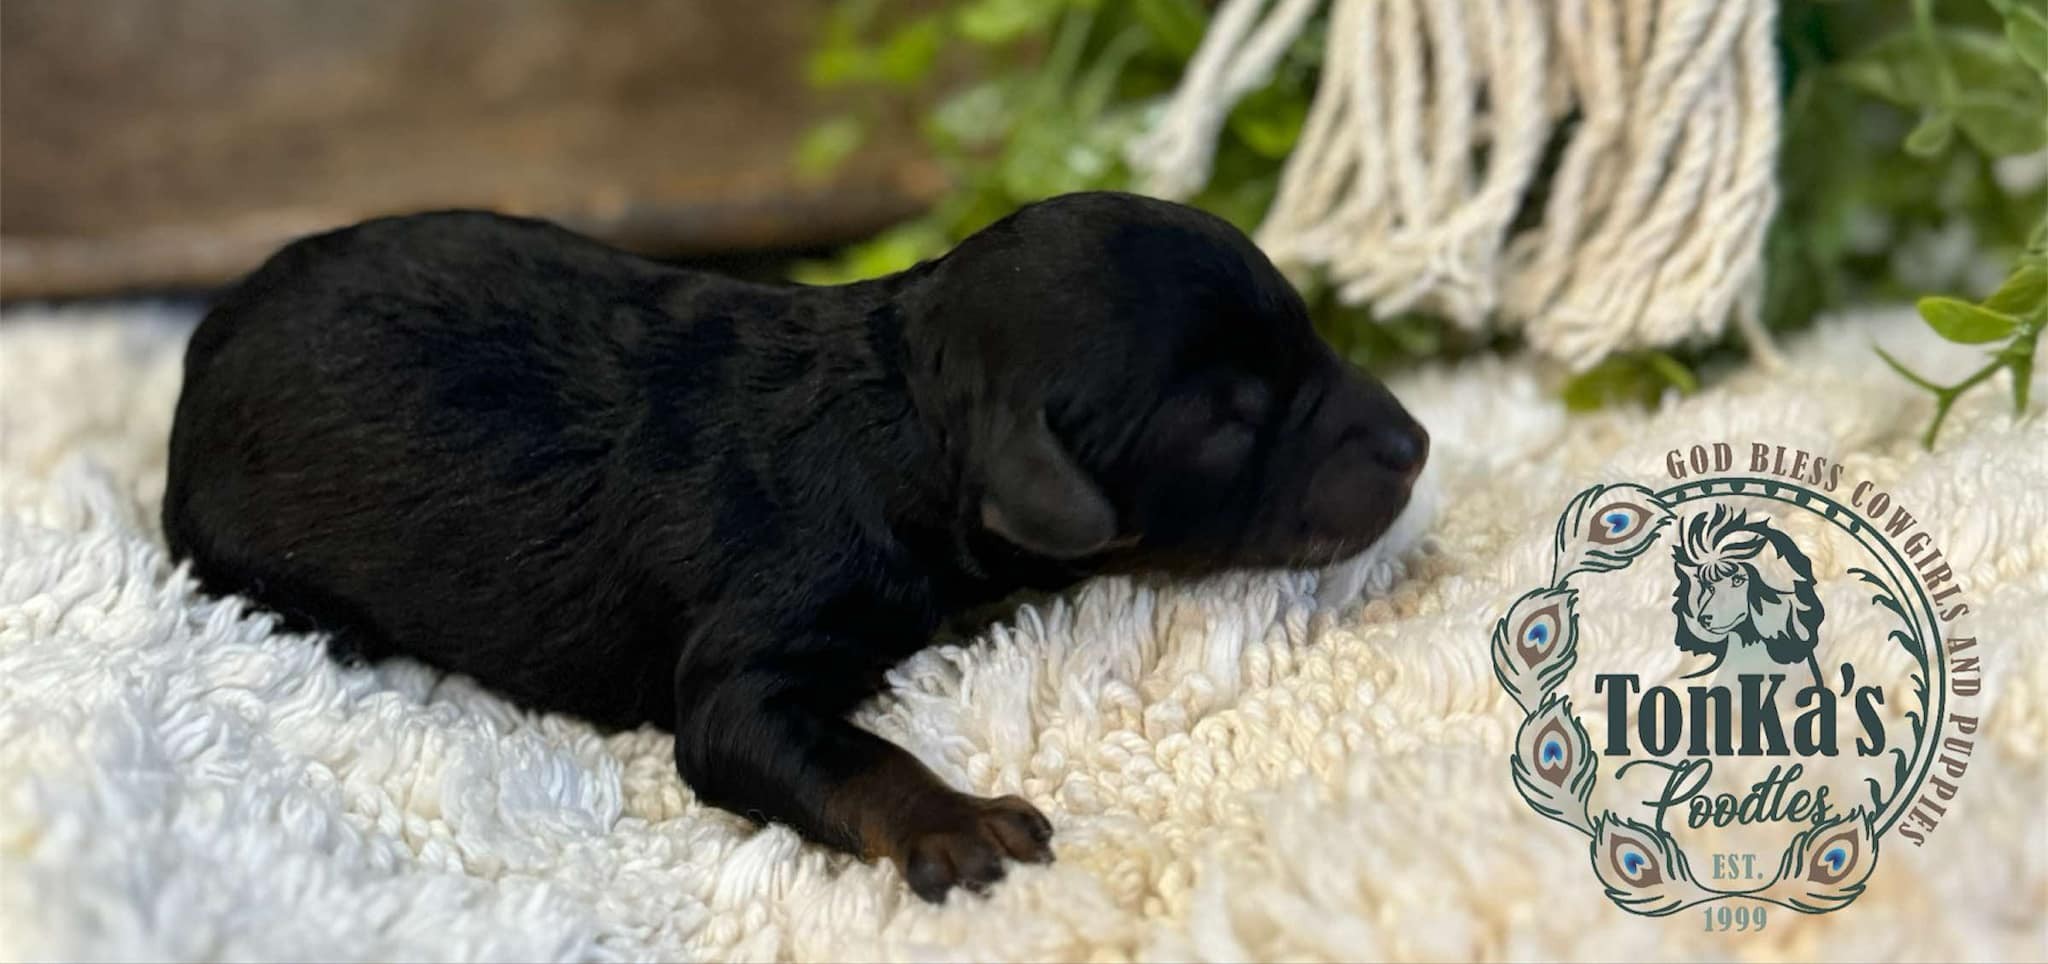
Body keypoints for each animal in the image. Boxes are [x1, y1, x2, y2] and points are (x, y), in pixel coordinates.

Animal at [163, 190, 1425, 904]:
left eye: (1307, 336)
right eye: (1230, 420)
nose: (1415, 443)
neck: (898, 407)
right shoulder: (756, 652)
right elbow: (821, 746)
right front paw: (955, 820)